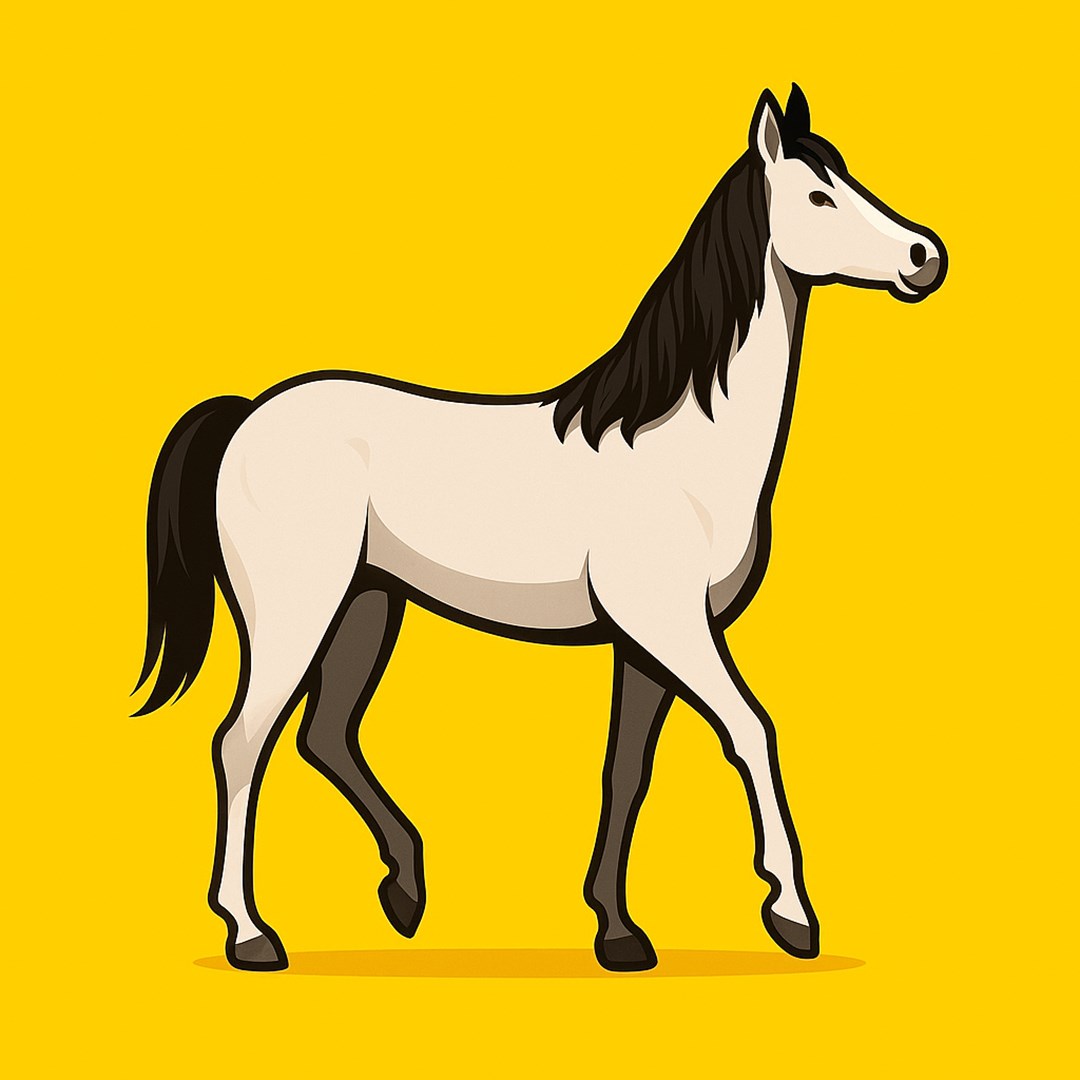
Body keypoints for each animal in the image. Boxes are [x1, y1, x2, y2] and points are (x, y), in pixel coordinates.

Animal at [135, 84, 946, 972]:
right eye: (818, 195)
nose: (925, 257)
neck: (676, 441)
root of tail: (247, 416)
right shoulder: (673, 626)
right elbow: (752, 731)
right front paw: (790, 914)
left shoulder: (643, 644)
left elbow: (626, 773)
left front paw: (618, 932)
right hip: (294, 613)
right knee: (242, 743)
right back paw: (252, 933)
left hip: (367, 603)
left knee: (325, 734)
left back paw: (406, 890)